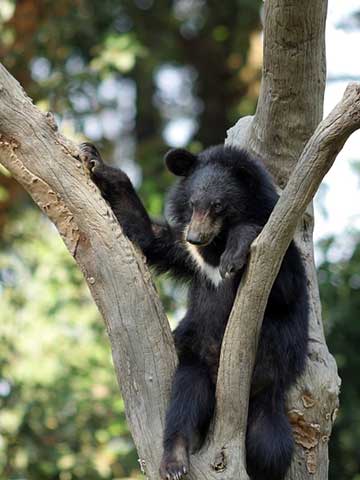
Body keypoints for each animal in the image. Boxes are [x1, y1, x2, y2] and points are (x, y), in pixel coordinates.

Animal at [80, 142, 308, 480]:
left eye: (218, 206)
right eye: (192, 203)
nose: (195, 237)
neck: (216, 243)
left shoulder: (280, 250)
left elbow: (283, 289)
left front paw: (236, 254)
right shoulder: (188, 255)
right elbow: (149, 237)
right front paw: (95, 160)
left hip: (272, 370)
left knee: (269, 445)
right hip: (196, 353)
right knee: (186, 397)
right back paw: (174, 462)